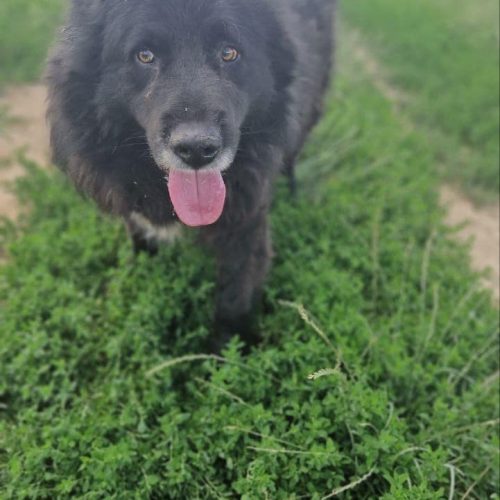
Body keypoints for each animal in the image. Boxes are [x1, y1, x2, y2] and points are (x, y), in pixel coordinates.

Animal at [47, 0, 336, 346]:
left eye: (229, 52)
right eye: (145, 55)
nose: (197, 149)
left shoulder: (246, 223)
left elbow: (234, 301)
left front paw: (226, 353)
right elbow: (142, 245)